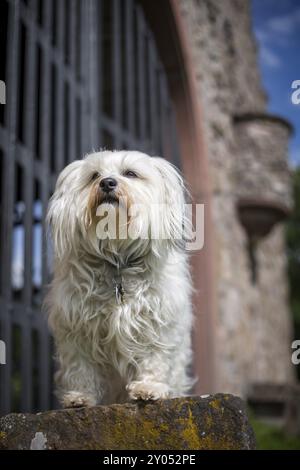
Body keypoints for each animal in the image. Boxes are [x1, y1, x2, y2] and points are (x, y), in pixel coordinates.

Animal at [45, 151, 193, 408]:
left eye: (130, 173)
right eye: (94, 175)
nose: (107, 182)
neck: (117, 259)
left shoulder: (157, 321)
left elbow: (155, 358)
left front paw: (148, 388)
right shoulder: (75, 326)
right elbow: (80, 366)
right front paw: (80, 396)